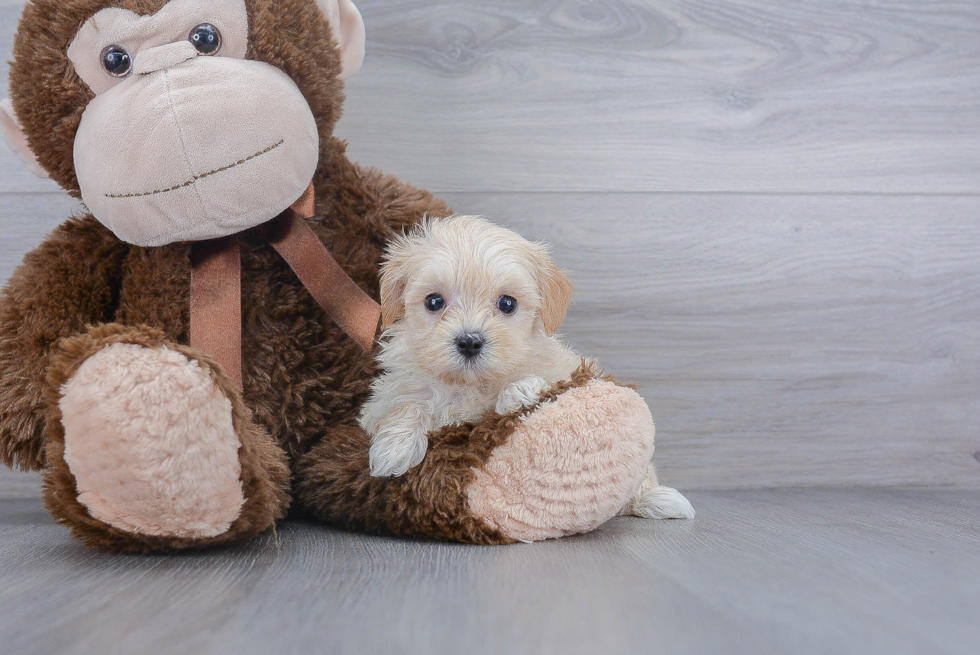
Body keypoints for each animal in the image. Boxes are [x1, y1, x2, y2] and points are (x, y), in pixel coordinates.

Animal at [362, 218, 696, 520]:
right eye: (434, 301)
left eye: (507, 304)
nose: (469, 342)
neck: (470, 384)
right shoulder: (384, 399)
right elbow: (407, 405)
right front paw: (394, 450)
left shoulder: (561, 372)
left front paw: (518, 391)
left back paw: (658, 499)